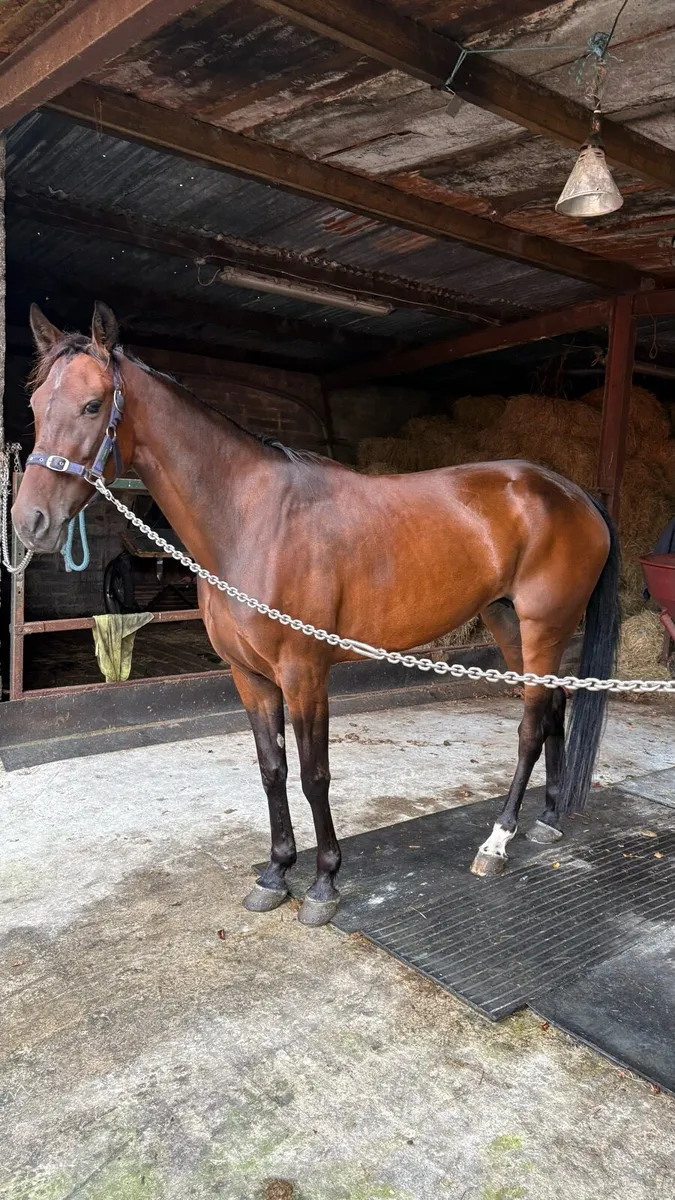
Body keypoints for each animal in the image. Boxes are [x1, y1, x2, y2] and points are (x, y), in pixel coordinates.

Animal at [12, 302, 620, 926]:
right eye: (34, 405)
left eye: (92, 404)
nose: (31, 522)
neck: (252, 520)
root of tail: (573, 492)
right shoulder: (250, 677)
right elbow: (272, 771)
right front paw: (276, 872)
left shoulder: (304, 674)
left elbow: (314, 775)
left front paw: (325, 883)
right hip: (508, 623)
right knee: (554, 707)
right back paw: (547, 820)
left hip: (545, 625)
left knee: (530, 725)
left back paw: (496, 842)